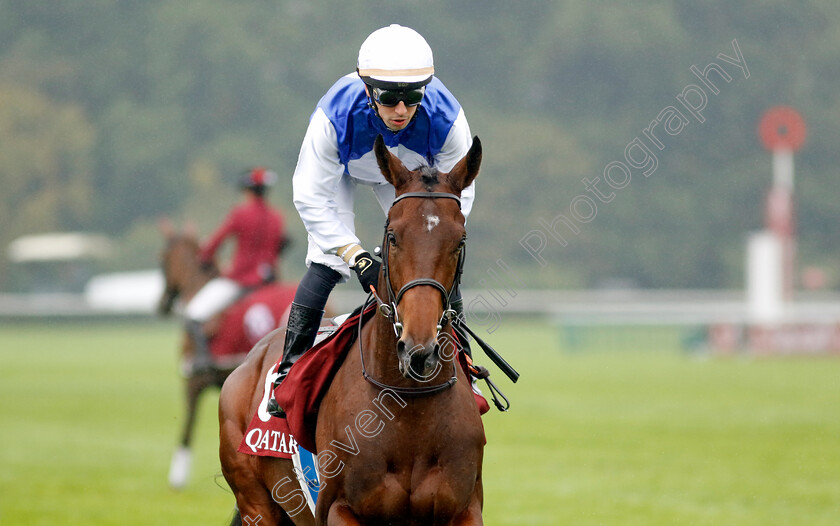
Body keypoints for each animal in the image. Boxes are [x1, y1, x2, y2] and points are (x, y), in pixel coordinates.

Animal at [218, 137, 486, 526]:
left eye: (460, 240)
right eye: (393, 236)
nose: (419, 350)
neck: (407, 406)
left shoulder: (464, 509)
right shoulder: (340, 509)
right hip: (256, 503)